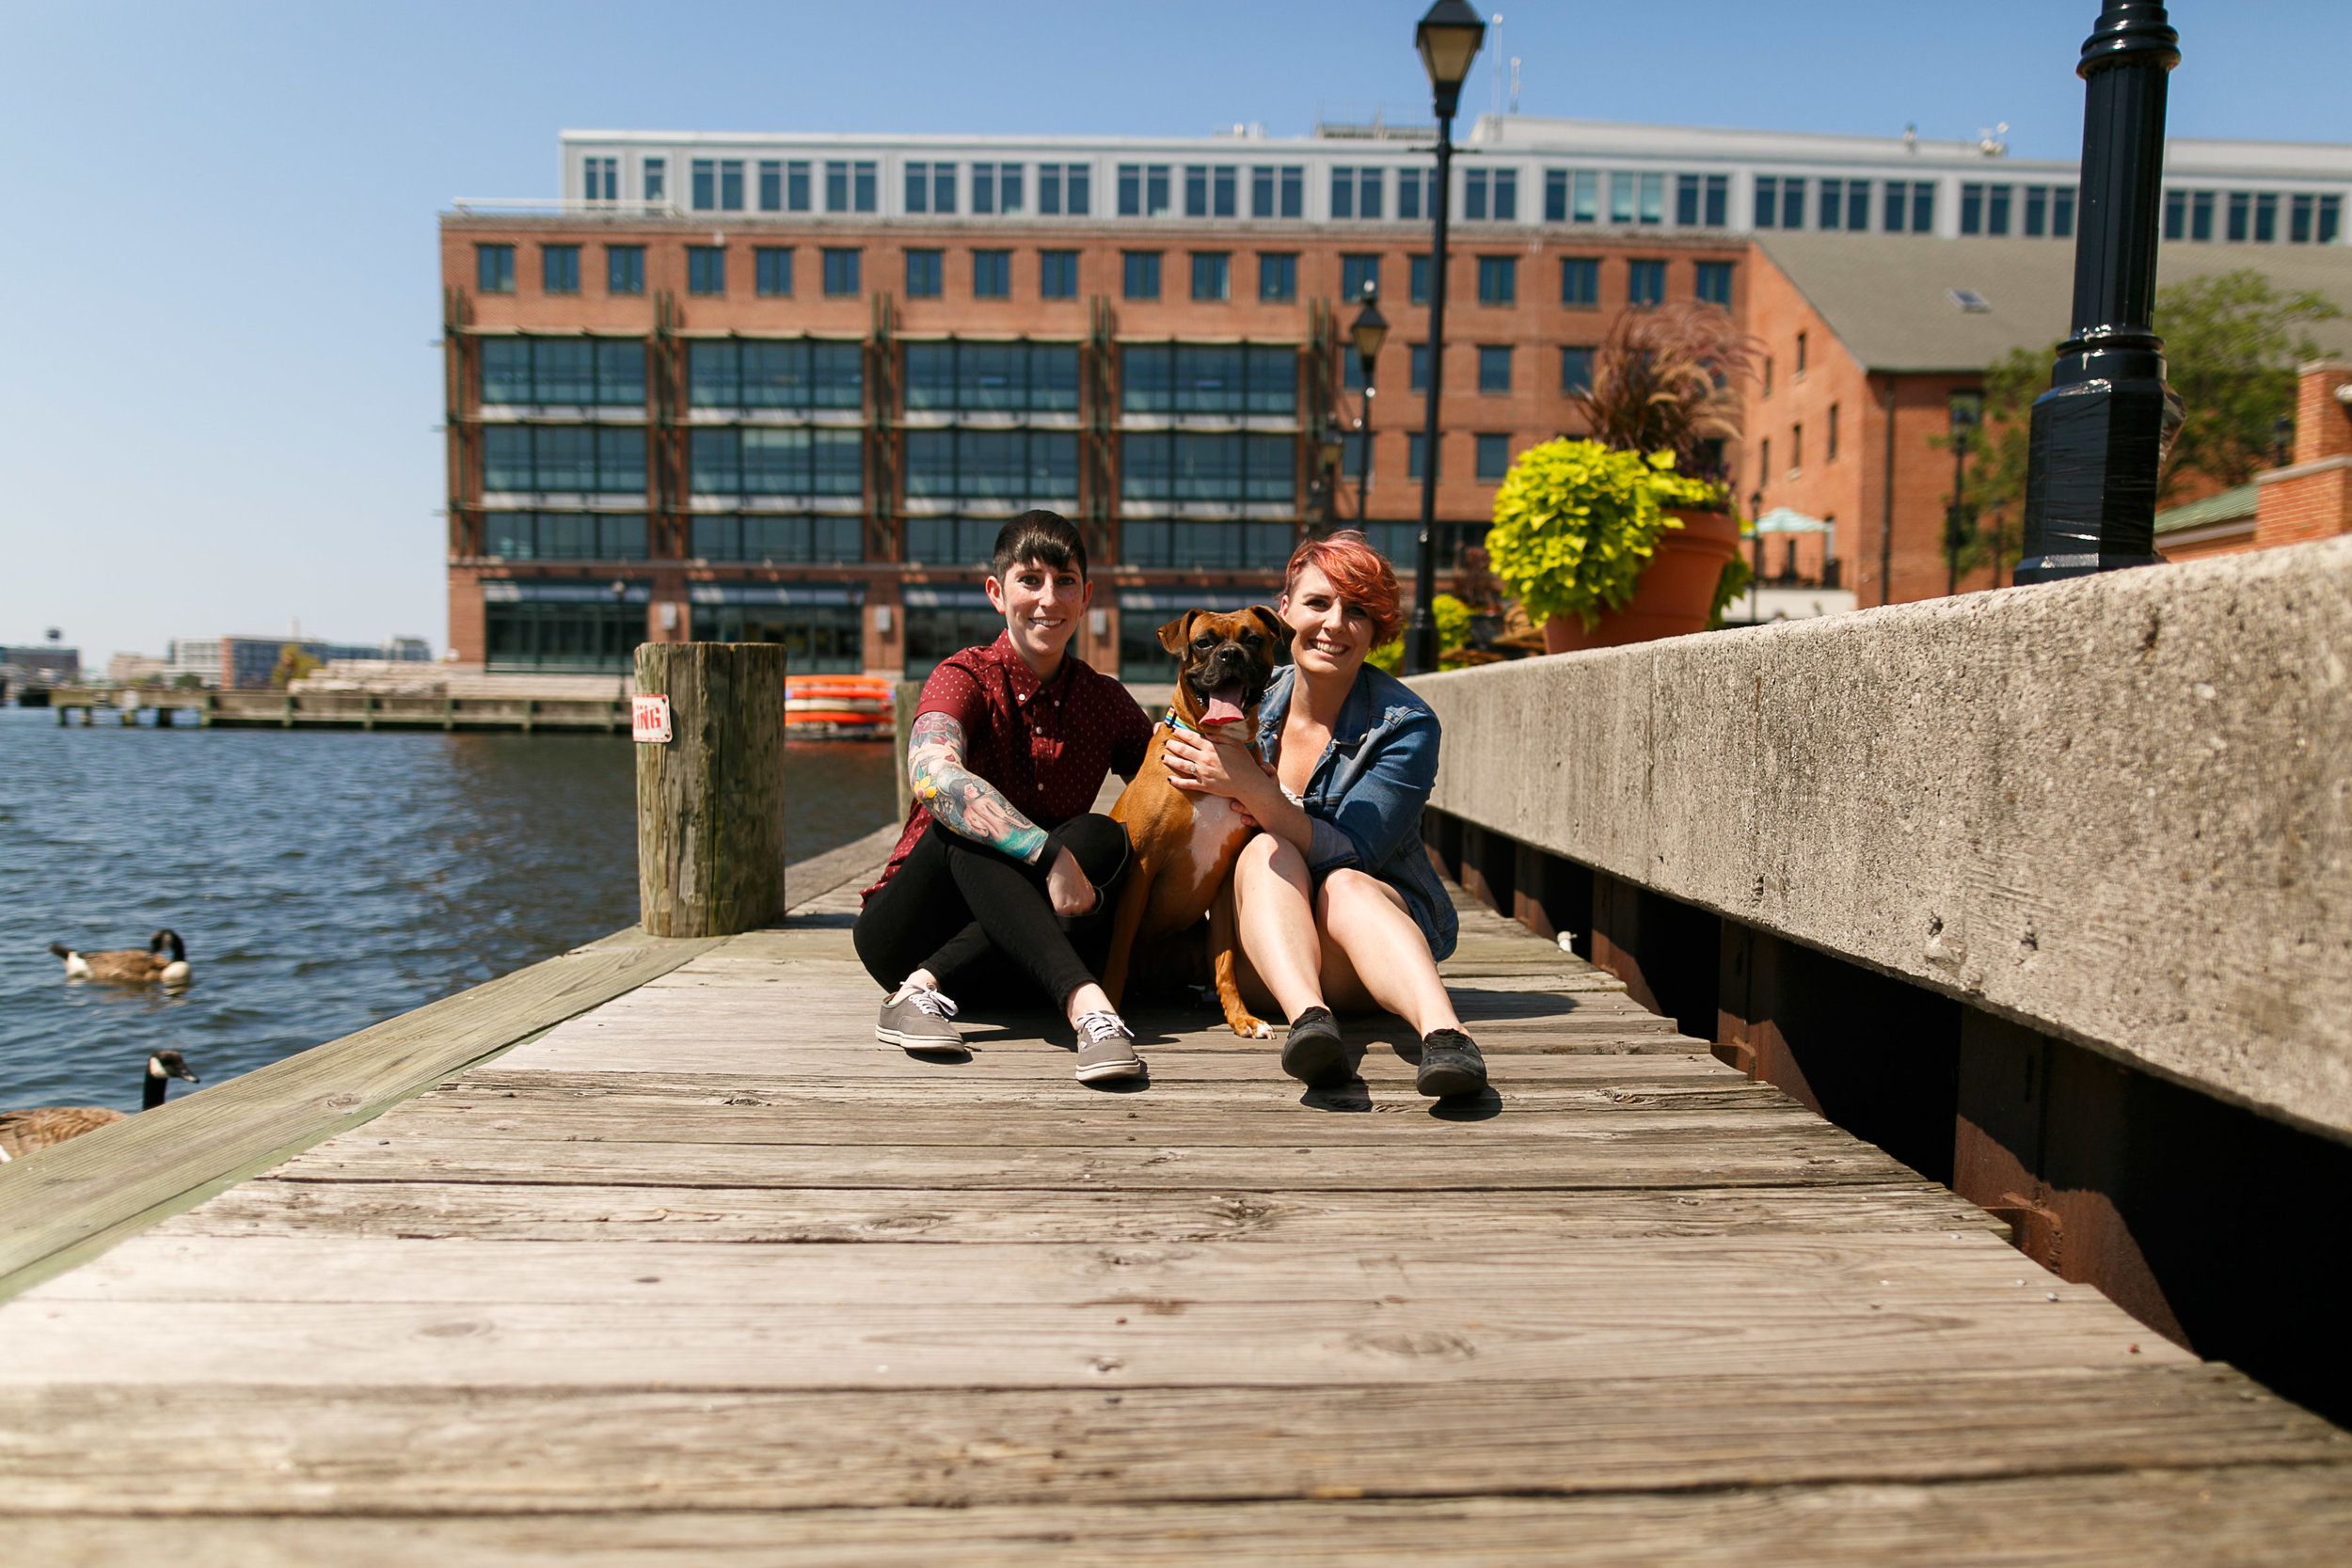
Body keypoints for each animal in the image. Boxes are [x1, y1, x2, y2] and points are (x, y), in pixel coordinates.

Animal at [1096, 610, 1289, 1043]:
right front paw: (1111, 1007)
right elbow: (1116, 950)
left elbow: (1226, 961)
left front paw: (1241, 1017)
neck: (1216, 748)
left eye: (1253, 639)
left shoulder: (1222, 882)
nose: (1231, 654)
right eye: (1204, 643)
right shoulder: (1142, 869)